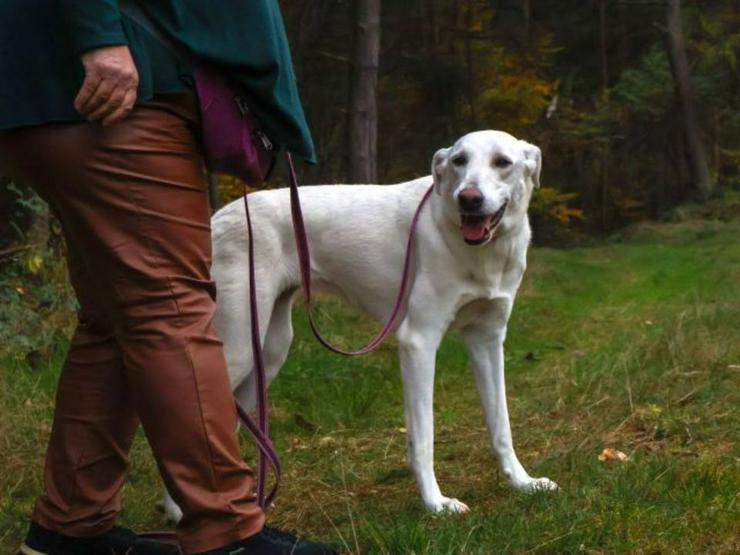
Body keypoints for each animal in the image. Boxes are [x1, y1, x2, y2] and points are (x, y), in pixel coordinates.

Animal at [160, 129, 556, 520]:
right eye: (459, 161)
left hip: (267, 353)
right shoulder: (419, 341)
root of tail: (219, 216)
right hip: (239, 346)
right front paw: (434, 503)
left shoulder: (487, 340)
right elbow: (423, 437)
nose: (468, 199)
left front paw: (521, 482)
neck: (479, 251)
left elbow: (501, 425)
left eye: (502, 162)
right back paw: (181, 513)